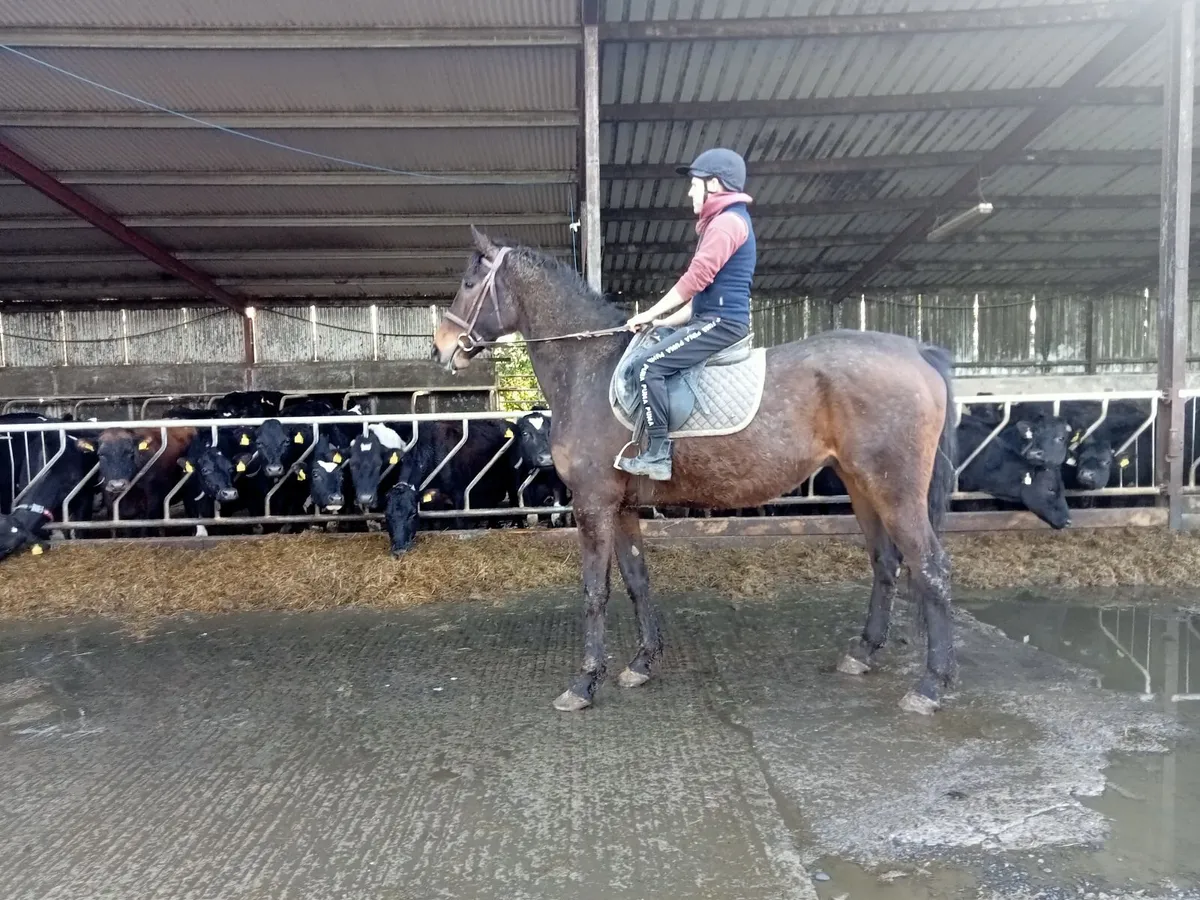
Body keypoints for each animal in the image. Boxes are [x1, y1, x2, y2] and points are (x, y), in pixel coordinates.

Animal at [429, 226, 958, 716]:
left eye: (470, 282)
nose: (441, 349)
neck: (590, 370)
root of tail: (917, 351)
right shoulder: (622, 507)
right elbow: (637, 580)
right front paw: (642, 663)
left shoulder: (593, 504)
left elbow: (595, 590)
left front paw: (583, 684)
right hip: (862, 486)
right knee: (886, 561)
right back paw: (864, 653)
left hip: (896, 491)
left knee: (930, 566)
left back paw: (930, 685)